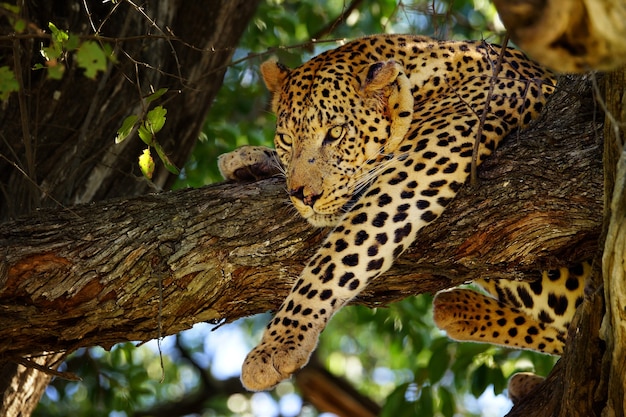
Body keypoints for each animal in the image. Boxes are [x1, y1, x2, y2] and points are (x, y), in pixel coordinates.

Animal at [216, 34, 584, 392]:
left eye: (335, 133)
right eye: (287, 138)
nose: (304, 196)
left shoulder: (420, 166)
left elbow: (337, 257)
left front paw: (278, 344)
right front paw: (246, 158)